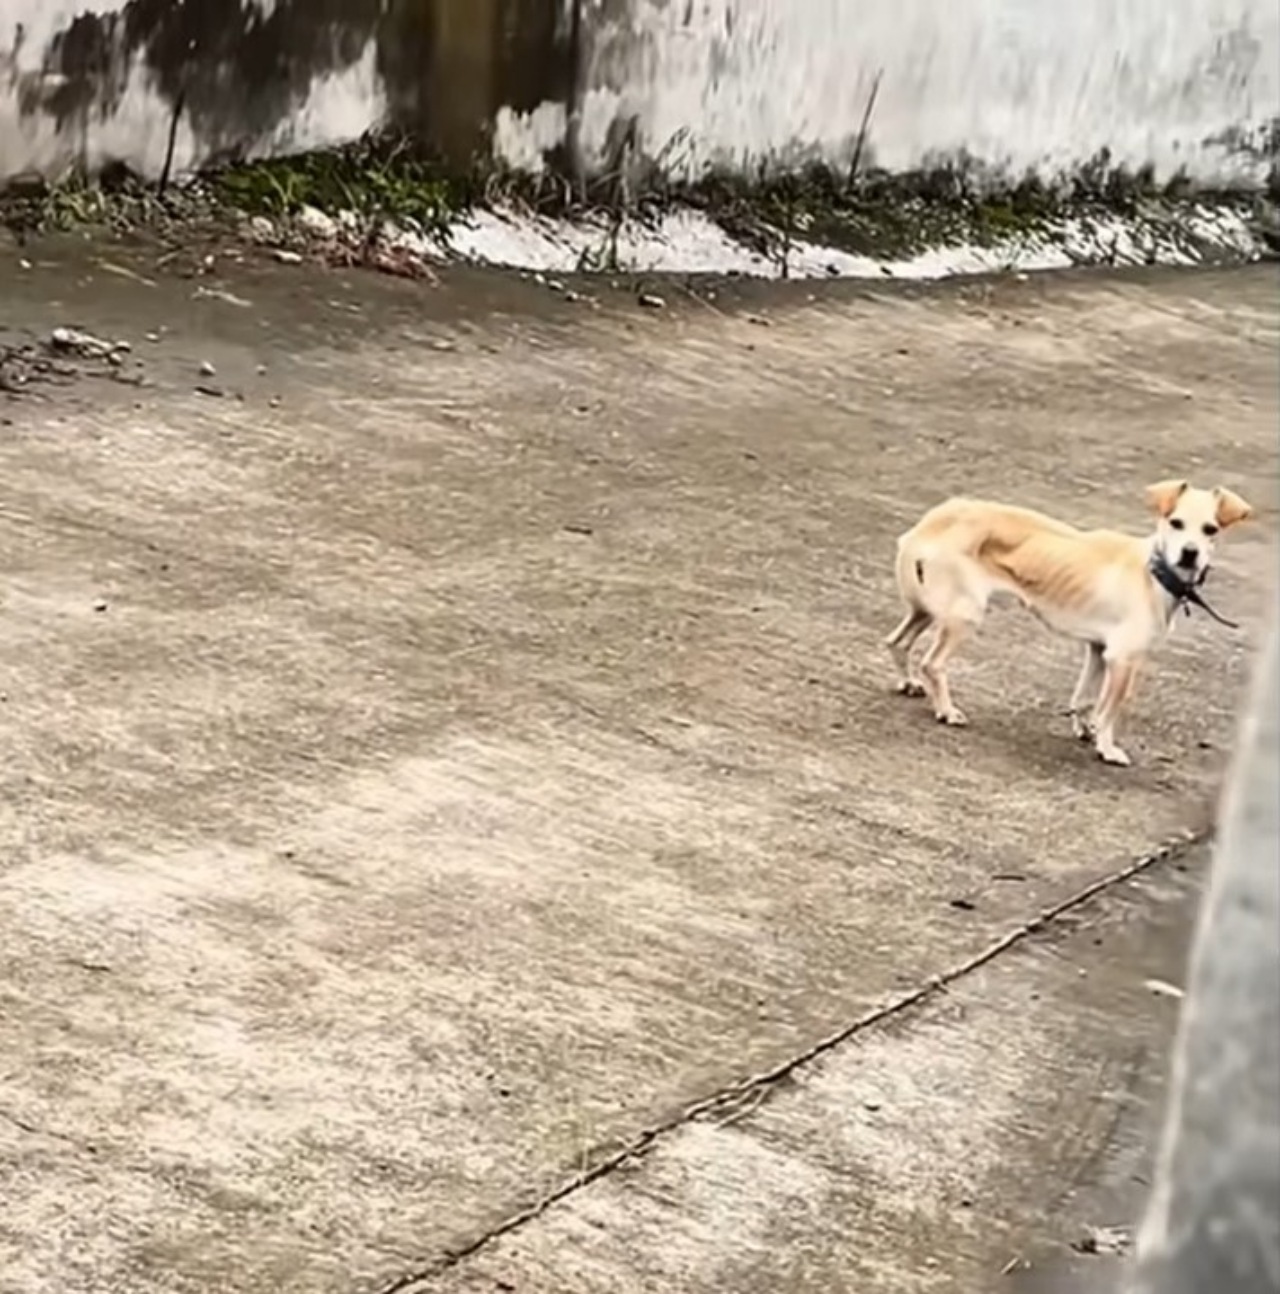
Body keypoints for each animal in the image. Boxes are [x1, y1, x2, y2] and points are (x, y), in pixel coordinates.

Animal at [885, 486, 1252, 766]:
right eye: (1176, 523)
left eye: (1211, 529)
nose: (1190, 553)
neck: (1154, 571)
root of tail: (936, 520)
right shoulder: (1123, 660)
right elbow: (1109, 711)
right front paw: (1107, 747)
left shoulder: (1098, 651)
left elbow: (1085, 698)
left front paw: (1085, 728)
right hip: (963, 615)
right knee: (933, 664)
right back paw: (946, 710)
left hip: (926, 610)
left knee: (897, 642)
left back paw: (909, 683)